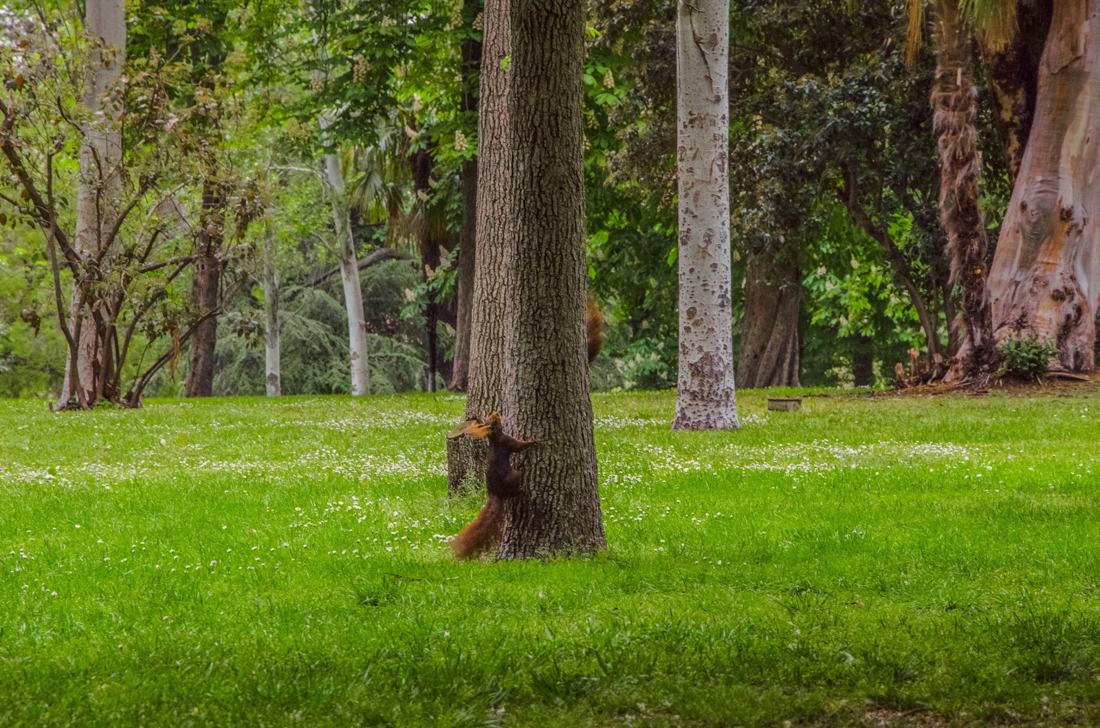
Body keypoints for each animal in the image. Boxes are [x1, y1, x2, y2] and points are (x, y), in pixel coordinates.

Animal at [446, 297, 603, 559]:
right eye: (493, 420)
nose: (496, 411)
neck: (493, 439)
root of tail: (495, 494)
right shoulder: (507, 441)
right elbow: (519, 446)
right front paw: (533, 440)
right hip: (512, 478)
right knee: (517, 485)